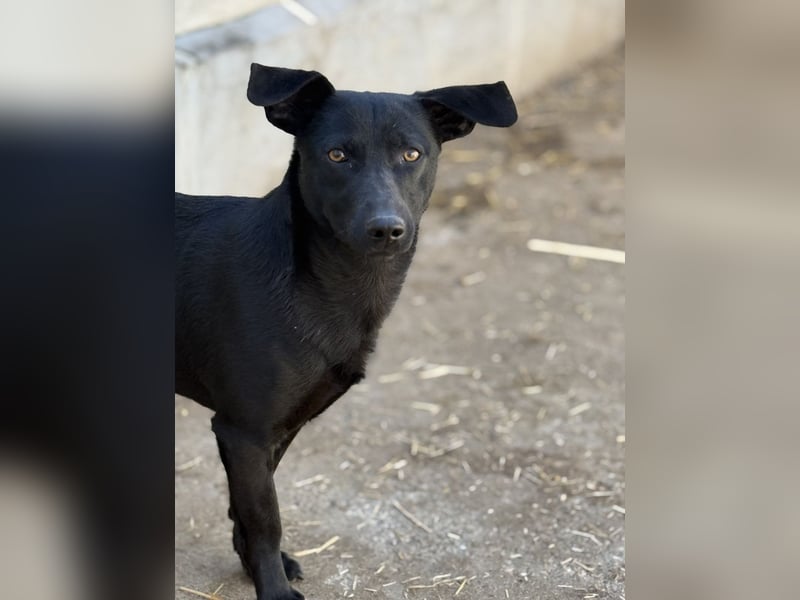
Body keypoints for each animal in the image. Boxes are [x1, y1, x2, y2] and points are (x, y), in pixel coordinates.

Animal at [176, 64, 517, 600]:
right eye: (337, 155)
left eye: (411, 154)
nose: (386, 229)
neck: (324, 284)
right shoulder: (244, 429)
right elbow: (265, 517)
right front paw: (272, 589)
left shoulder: (276, 427)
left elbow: (246, 507)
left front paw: (252, 564)